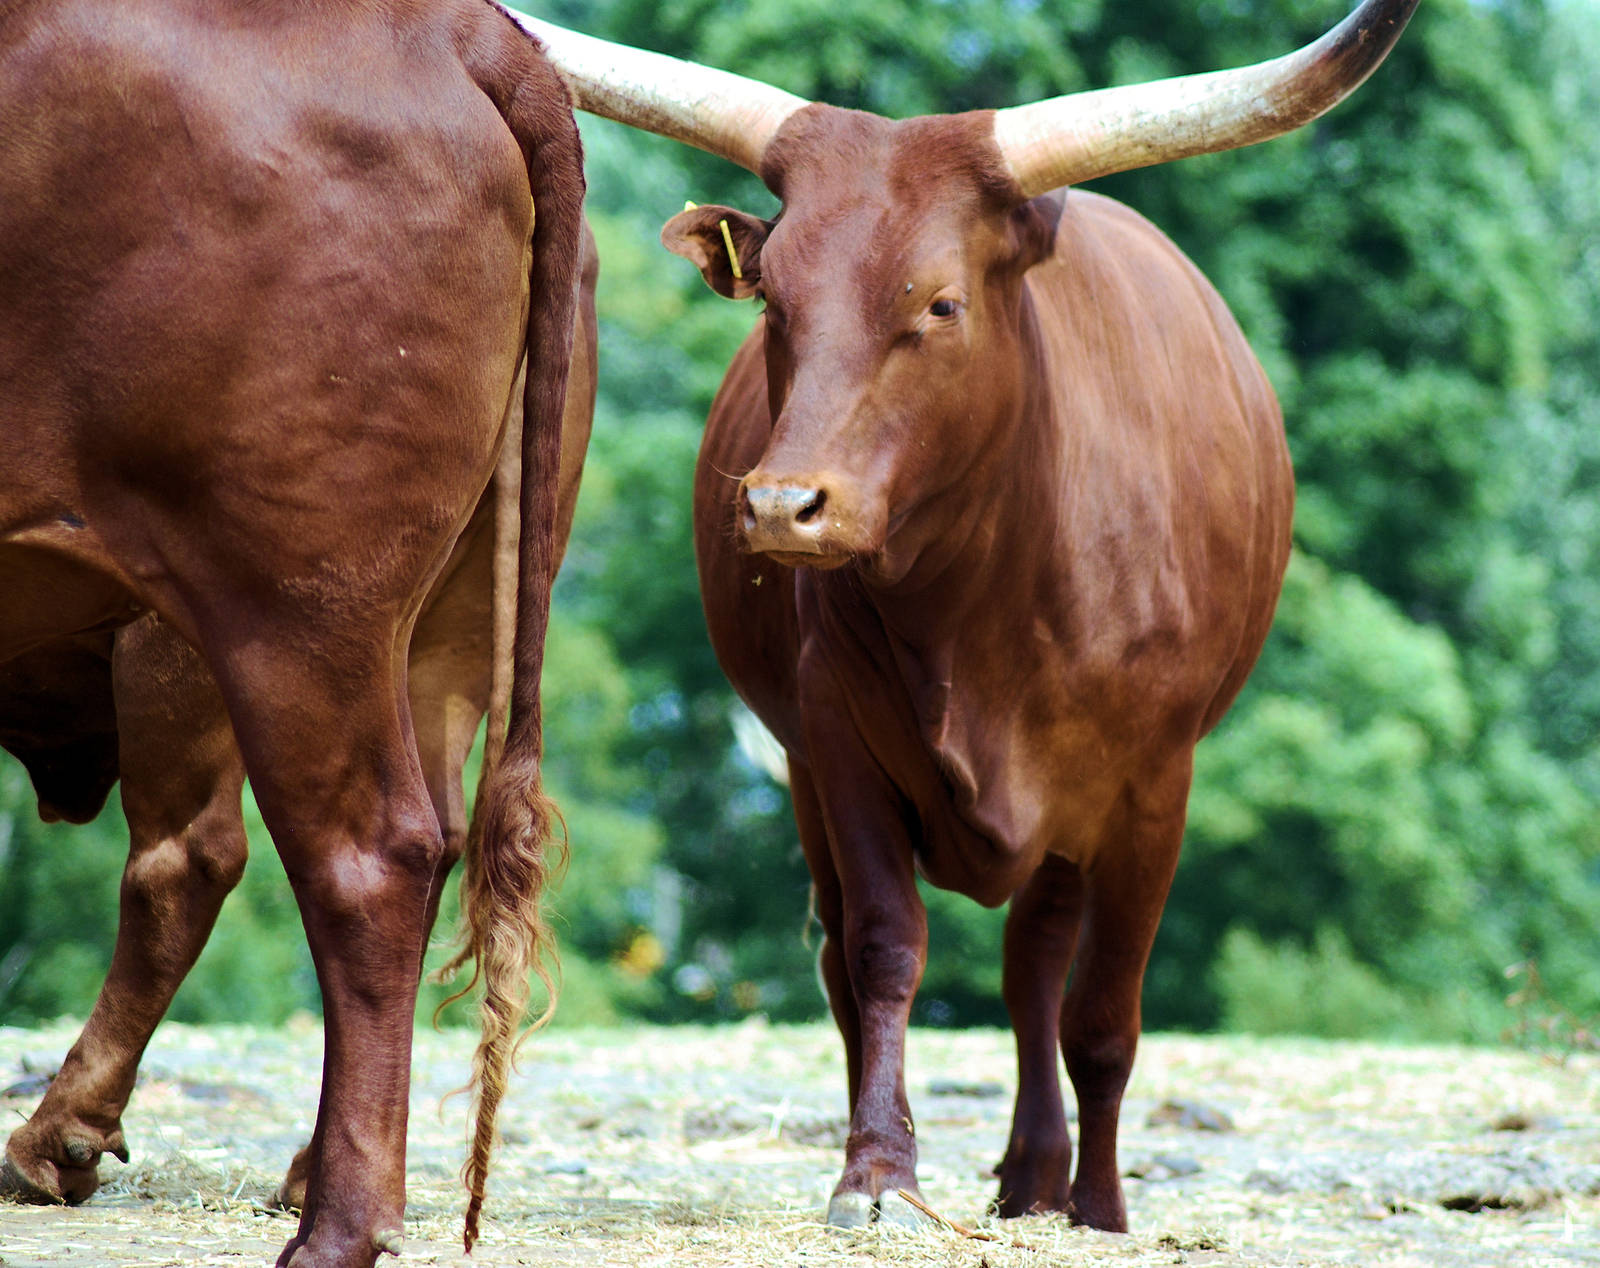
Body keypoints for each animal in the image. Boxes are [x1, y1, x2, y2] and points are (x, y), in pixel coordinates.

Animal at [0, 1, 585, 1263]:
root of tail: (465, 28)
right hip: (444, 619)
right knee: (433, 833)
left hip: (278, 605)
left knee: (335, 858)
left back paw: (325, 1223)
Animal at [511, 0, 1417, 1232]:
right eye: (775, 299)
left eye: (939, 302)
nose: (783, 505)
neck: (981, 598)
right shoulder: (835, 745)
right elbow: (885, 950)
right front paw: (877, 1171)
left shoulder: (1152, 783)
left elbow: (1102, 1008)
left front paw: (1100, 1206)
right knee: (866, 963)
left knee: (1039, 965)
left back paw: (1041, 1175)